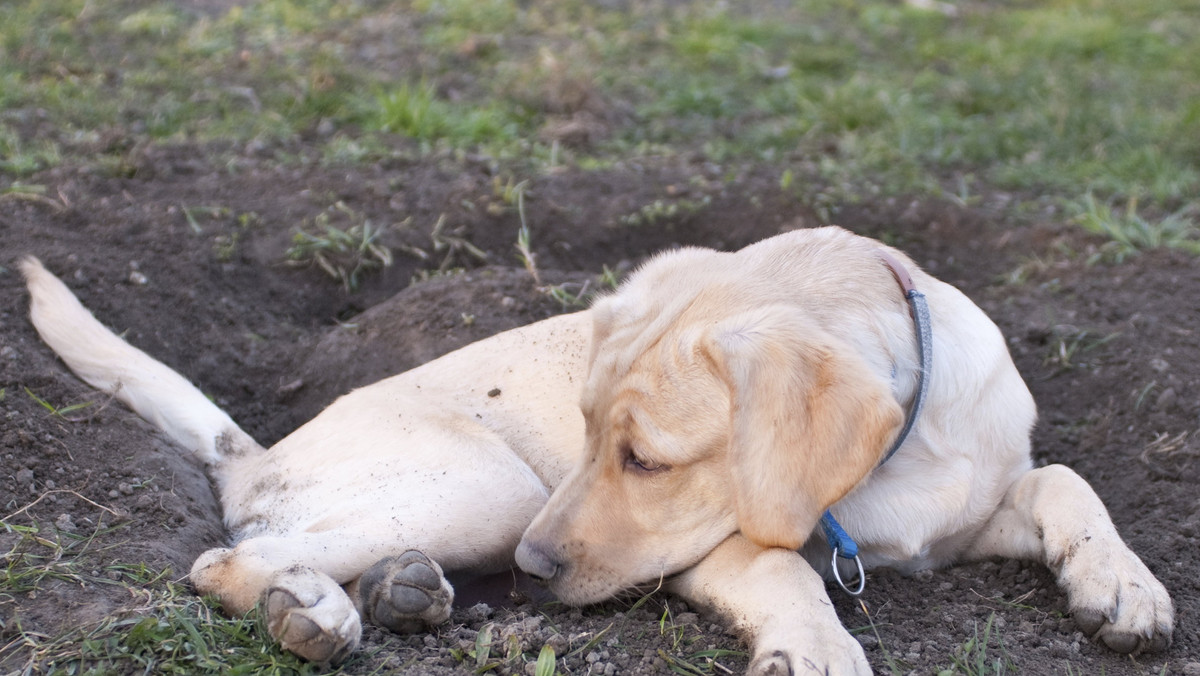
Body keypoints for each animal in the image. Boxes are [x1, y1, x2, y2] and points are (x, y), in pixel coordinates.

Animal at [21, 229, 1171, 676]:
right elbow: (787, 566)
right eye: (583, 430)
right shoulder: (721, 550)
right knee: (226, 556)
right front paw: (817, 644)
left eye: (646, 460)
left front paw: (1124, 586)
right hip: (489, 484)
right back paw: (316, 611)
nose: (534, 571)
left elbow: (1067, 480)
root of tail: (251, 454)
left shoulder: (981, 497)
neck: (898, 468)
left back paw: (398, 591)